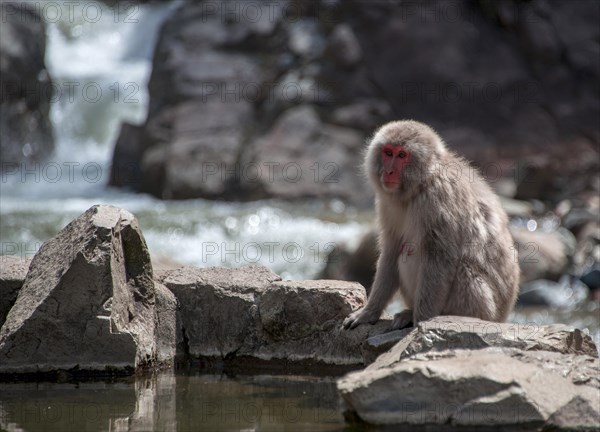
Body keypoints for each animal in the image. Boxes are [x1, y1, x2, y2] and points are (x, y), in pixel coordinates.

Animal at [342, 120, 520, 330]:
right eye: (388, 152)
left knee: (449, 264)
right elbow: (392, 250)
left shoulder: (438, 199)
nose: (389, 171)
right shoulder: (387, 203)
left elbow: (440, 256)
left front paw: (422, 322)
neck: (421, 184)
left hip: (484, 310)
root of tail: (502, 316)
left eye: (402, 155)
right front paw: (369, 312)